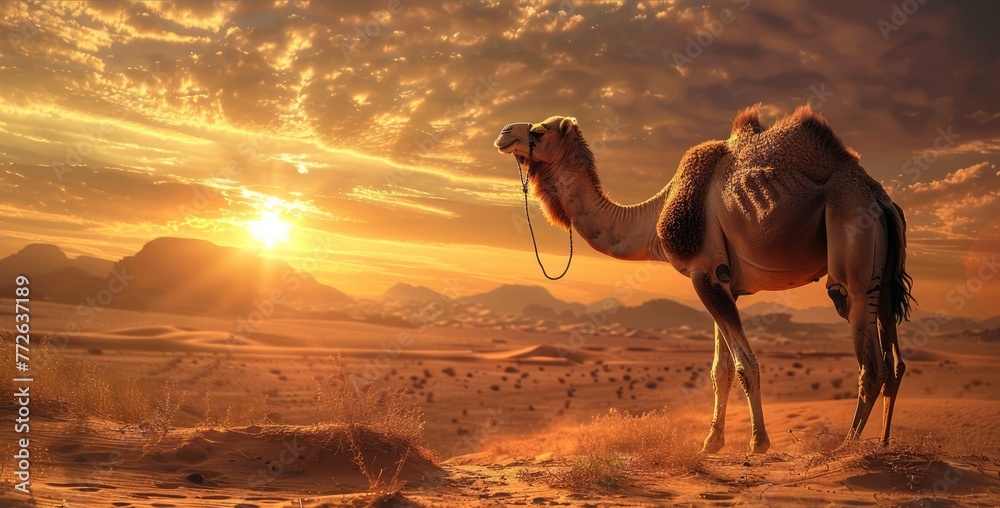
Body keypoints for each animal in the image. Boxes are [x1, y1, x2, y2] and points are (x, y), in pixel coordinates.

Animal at [493, 104, 914, 454]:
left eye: (541, 131)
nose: (503, 132)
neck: (653, 218)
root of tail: (880, 199)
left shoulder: (703, 272)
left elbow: (744, 365)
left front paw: (758, 443)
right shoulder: (726, 282)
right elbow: (720, 371)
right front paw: (711, 443)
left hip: (851, 248)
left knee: (869, 360)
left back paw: (846, 448)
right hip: (884, 276)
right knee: (894, 360)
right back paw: (883, 443)